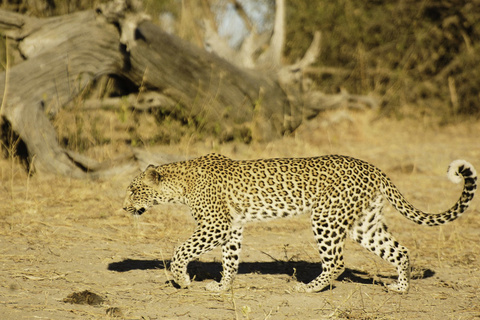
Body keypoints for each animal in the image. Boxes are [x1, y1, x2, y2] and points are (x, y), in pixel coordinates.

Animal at [123, 154, 476, 294]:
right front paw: (223, 287)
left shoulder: (216, 225)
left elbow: (181, 249)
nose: (124, 207)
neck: (179, 185)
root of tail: (374, 169)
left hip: (326, 218)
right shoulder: (232, 227)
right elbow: (230, 259)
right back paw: (400, 288)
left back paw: (308, 288)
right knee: (400, 250)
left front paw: (182, 279)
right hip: (364, 224)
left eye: (133, 189)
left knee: (337, 261)